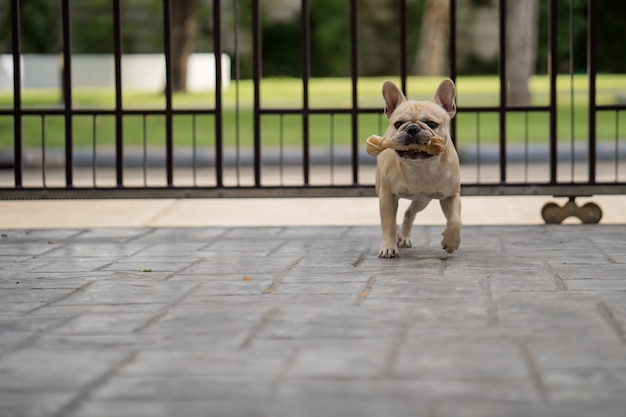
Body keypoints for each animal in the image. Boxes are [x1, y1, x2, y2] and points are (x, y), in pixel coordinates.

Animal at [372, 79, 460, 256]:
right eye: (398, 124)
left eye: (432, 124)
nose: (412, 128)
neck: (420, 167)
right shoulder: (387, 196)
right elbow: (388, 224)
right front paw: (388, 247)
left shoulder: (451, 196)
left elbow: (455, 221)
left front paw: (450, 242)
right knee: (395, 219)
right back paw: (399, 237)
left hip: (422, 200)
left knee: (409, 212)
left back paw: (404, 237)